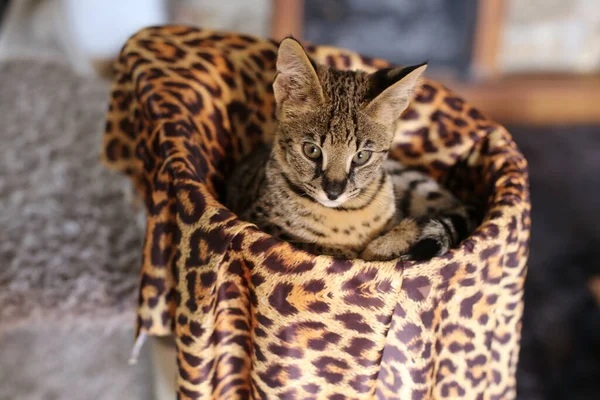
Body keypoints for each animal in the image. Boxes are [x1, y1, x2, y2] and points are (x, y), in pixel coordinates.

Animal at [226, 38, 474, 262]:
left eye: (362, 156)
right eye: (311, 150)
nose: (333, 193)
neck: (345, 213)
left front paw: (386, 246)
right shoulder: (258, 219)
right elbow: (311, 244)